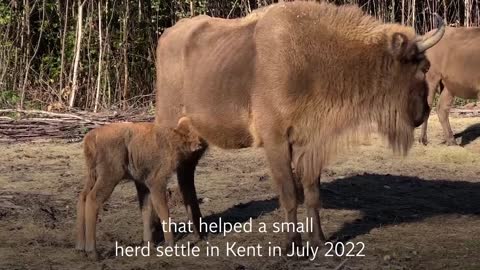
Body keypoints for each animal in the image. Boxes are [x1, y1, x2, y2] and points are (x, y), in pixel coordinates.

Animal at [74, 117, 202, 255]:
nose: (199, 144)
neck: (175, 136)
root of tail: (91, 136)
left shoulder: (142, 184)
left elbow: (146, 210)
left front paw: (148, 245)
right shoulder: (156, 182)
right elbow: (163, 211)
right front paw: (170, 245)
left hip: (92, 176)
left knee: (82, 197)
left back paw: (80, 246)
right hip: (109, 177)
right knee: (93, 199)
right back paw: (92, 251)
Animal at [152, 1, 444, 251]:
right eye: (423, 67)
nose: (423, 113)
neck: (313, 59)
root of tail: (167, 36)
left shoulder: (311, 142)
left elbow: (312, 192)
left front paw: (319, 241)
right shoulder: (277, 141)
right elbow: (290, 192)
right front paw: (293, 245)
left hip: (197, 137)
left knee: (186, 175)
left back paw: (199, 232)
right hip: (170, 128)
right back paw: (167, 235)